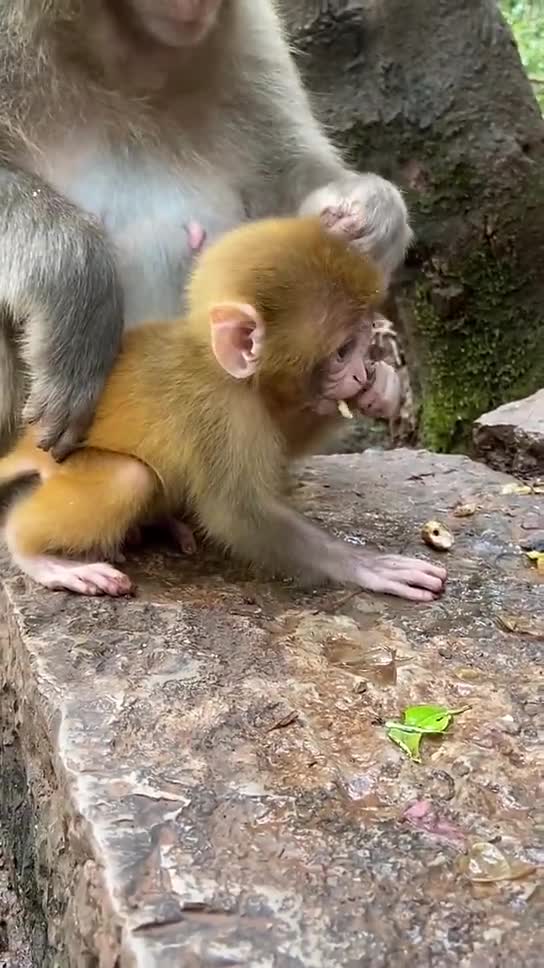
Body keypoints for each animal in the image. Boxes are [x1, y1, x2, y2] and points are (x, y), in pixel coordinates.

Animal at [0, 216, 446, 604]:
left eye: (361, 343)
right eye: (342, 351)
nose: (358, 373)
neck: (224, 370)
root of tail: (25, 444)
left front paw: (381, 389)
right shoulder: (221, 413)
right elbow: (238, 514)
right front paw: (367, 566)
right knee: (129, 477)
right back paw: (35, 554)